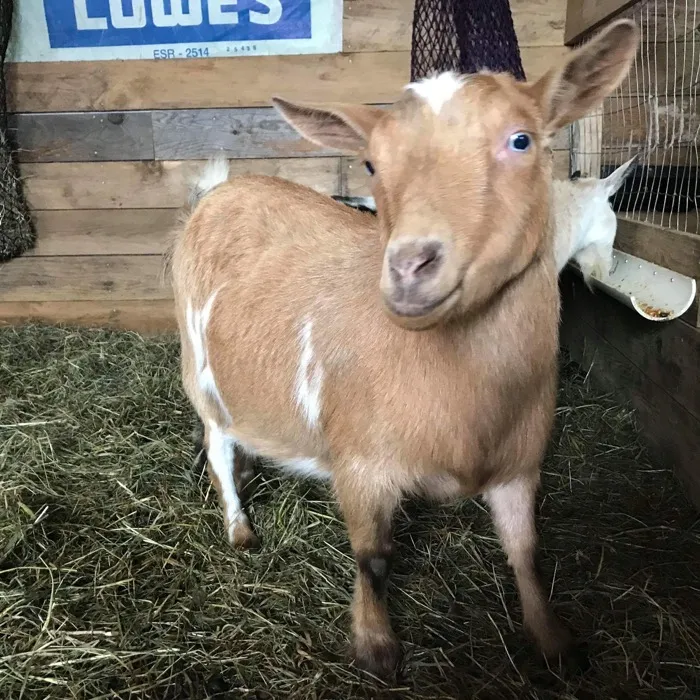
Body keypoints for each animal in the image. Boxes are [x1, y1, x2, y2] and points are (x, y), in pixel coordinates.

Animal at [168, 19, 638, 678]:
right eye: (371, 162)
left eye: (521, 140)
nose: (409, 267)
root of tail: (217, 191)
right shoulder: (362, 466)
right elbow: (373, 557)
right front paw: (376, 645)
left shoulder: (520, 462)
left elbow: (525, 550)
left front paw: (553, 641)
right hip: (197, 363)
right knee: (216, 444)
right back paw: (239, 526)